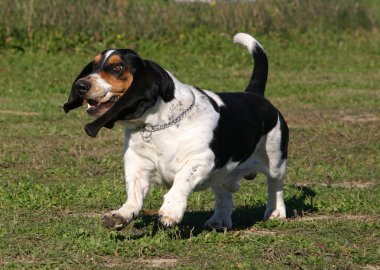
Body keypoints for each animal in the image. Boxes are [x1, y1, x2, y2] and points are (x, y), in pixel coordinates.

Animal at [63, 32, 288, 230]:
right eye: (94, 66)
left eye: (118, 67)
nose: (81, 85)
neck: (156, 126)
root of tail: (253, 94)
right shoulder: (137, 164)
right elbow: (134, 196)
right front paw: (120, 215)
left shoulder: (200, 160)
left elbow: (180, 183)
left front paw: (170, 212)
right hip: (221, 173)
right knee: (223, 195)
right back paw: (219, 221)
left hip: (275, 160)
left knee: (275, 185)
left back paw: (276, 212)